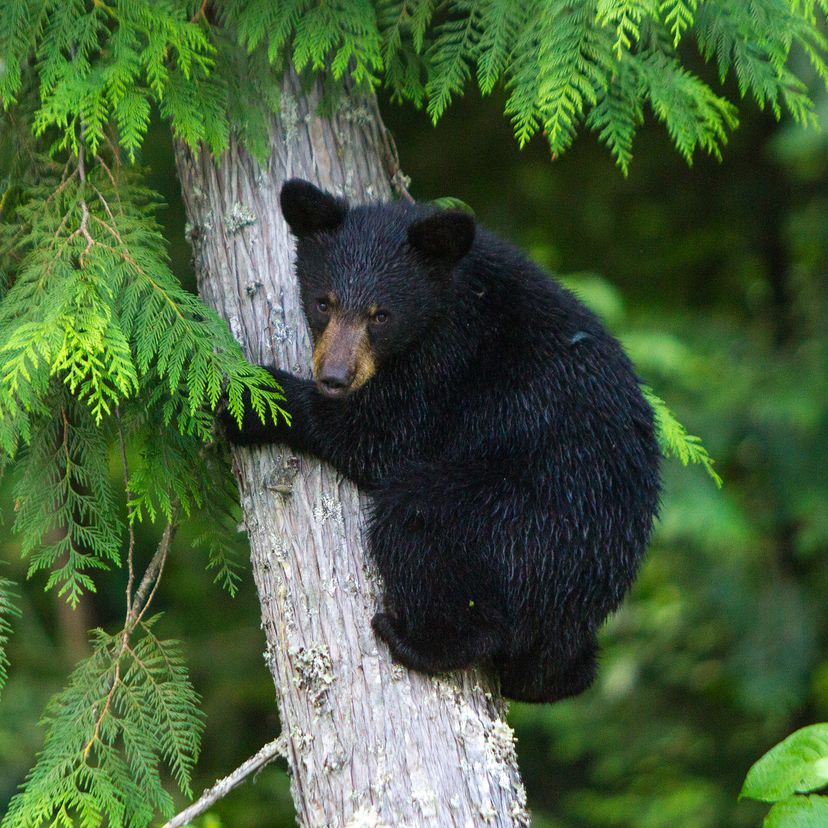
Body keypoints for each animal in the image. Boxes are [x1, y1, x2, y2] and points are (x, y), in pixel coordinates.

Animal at [223, 178, 661, 704]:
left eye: (381, 315)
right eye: (324, 302)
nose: (334, 378)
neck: (450, 295)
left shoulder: (448, 360)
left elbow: (382, 438)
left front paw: (252, 403)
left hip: (515, 517)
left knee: (417, 521)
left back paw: (415, 640)